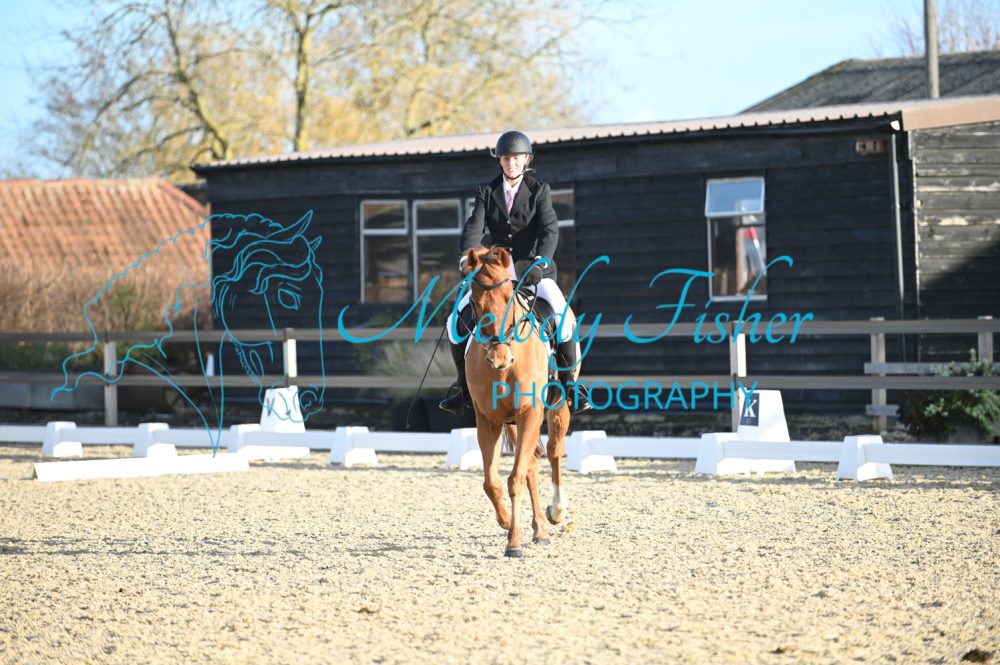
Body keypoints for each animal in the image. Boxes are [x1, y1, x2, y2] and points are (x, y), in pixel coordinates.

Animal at [463, 246, 575, 558]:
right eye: (475, 303)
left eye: (508, 298)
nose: (499, 358)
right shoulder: (487, 421)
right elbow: (492, 482)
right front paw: (505, 523)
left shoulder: (529, 413)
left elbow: (515, 479)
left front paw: (513, 542)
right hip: (513, 423)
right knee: (531, 464)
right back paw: (539, 530)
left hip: (556, 408)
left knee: (553, 451)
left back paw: (555, 512)